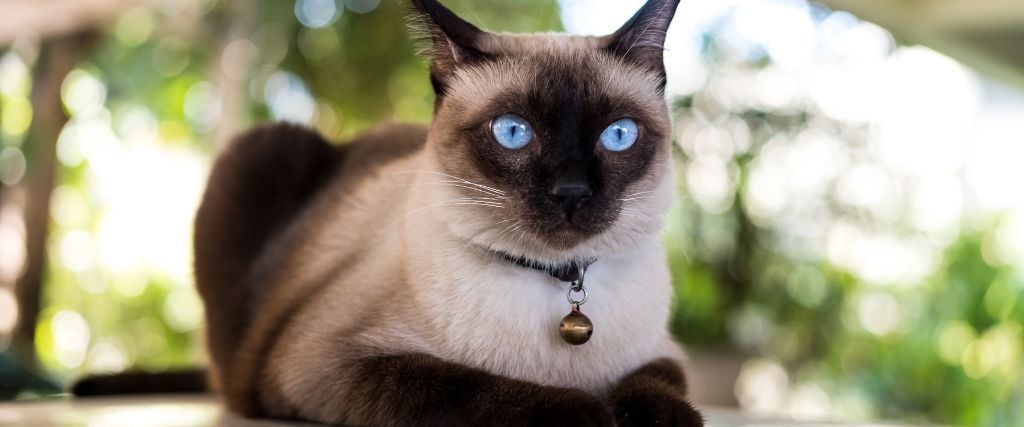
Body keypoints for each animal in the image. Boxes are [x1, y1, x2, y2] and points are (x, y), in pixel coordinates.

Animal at [193, 0, 704, 421]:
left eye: (618, 135)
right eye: (513, 131)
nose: (572, 192)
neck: (558, 284)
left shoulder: (664, 352)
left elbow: (657, 384)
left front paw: (658, 418)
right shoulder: (325, 363)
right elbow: (464, 384)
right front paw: (583, 410)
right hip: (260, 150)